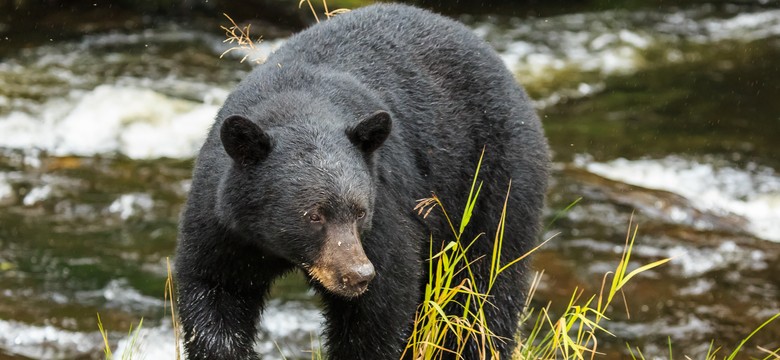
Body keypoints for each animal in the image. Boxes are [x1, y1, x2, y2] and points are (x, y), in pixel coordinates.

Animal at [175, 3, 548, 360]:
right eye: (313, 215)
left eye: (360, 212)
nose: (358, 273)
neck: (298, 107)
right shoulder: (223, 220)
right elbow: (214, 289)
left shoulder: (385, 206)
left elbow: (381, 306)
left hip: (495, 178)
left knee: (485, 289)